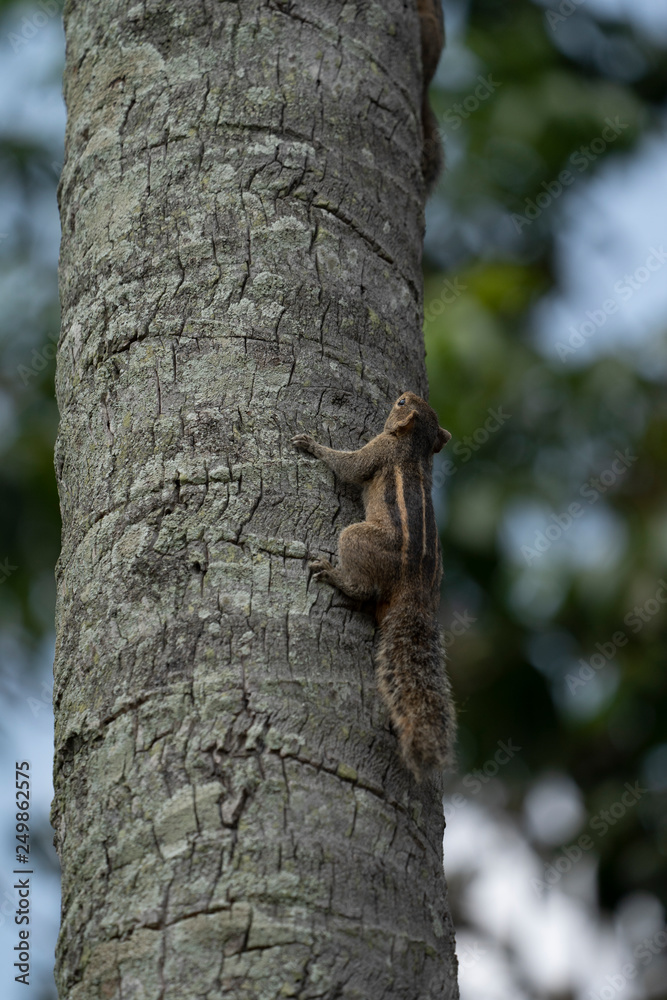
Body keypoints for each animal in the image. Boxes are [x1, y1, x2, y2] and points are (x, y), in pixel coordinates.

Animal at [293, 392, 456, 781]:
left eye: (401, 404)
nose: (404, 393)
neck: (413, 448)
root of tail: (416, 593)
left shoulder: (378, 451)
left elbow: (350, 466)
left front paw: (312, 445)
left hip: (356, 539)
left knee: (364, 589)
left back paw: (333, 574)